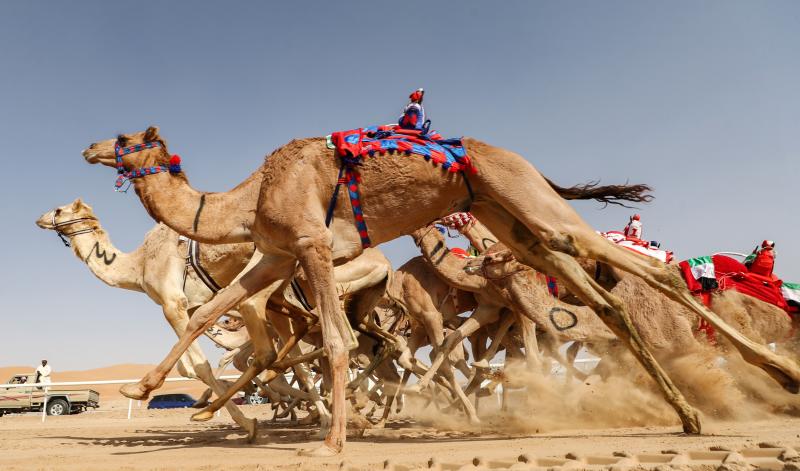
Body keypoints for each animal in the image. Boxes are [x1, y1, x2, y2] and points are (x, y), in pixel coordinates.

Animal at [82, 126, 800, 455]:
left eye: (123, 139)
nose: (89, 148)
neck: (246, 197)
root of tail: (525, 163)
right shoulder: (276, 255)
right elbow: (211, 312)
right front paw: (145, 390)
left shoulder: (310, 247)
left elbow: (336, 340)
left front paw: (331, 442)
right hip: (513, 225)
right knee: (609, 300)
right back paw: (690, 415)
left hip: (530, 207)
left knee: (652, 276)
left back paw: (773, 378)